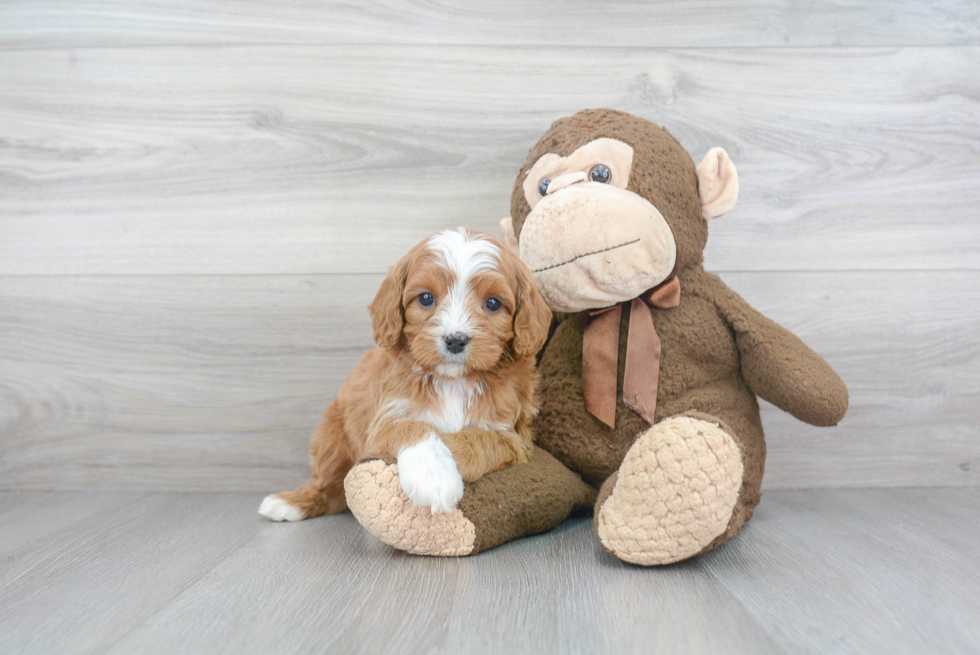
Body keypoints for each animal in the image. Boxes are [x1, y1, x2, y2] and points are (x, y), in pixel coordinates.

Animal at [260, 228, 552, 520]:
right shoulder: (384, 420)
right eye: (426, 298)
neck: (453, 381)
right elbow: (413, 427)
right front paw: (434, 477)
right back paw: (290, 503)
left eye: (492, 303)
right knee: (327, 486)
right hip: (331, 438)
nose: (455, 340)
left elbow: (476, 438)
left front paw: (447, 461)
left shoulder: (511, 434)